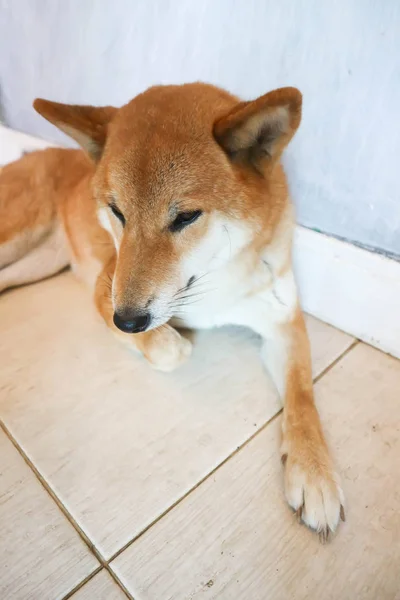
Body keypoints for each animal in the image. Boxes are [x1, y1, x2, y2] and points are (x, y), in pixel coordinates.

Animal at [0, 83, 344, 540]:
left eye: (185, 217)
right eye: (117, 212)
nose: (127, 321)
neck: (213, 277)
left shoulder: (283, 321)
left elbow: (303, 397)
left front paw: (314, 471)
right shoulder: (107, 287)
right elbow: (171, 350)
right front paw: (169, 341)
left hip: (33, 264)